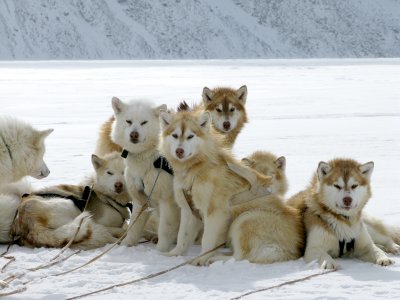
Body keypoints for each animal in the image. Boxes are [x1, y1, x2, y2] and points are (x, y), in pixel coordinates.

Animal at [108, 97, 179, 252]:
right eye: (128, 121)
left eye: (144, 122)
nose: (134, 134)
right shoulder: (139, 201)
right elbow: (133, 228)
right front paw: (126, 245)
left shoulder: (167, 201)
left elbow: (165, 230)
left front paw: (161, 251)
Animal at [159, 110, 272, 264]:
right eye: (175, 135)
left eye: (190, 136)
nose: (179, 151)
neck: (196, 170)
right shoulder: (187, 209)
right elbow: (182, 236)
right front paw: (174, 254)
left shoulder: (215, 212)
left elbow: (207, 240)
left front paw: (201, 259)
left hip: (243, 220)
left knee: (241, 256)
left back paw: (216, 258)